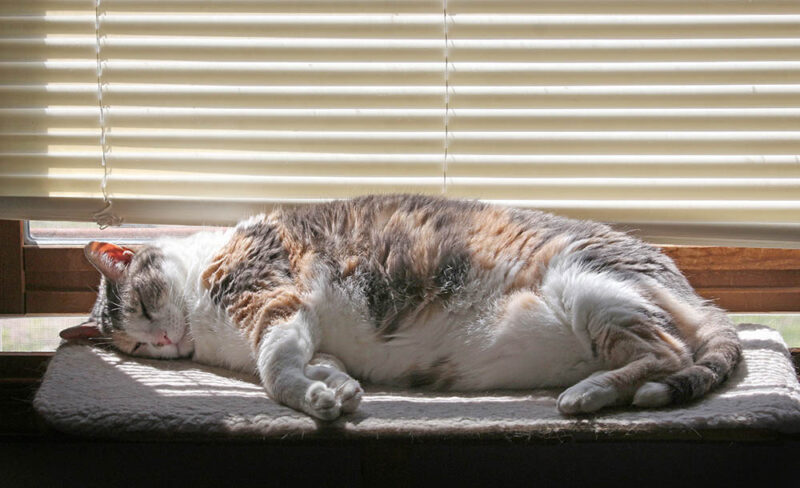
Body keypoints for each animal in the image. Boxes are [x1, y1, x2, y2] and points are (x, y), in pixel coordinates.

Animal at [62, 194, 744, 420]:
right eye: (133, 347)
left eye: (143, 306)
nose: (163, 346)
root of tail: (692, 288)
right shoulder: (310, 333)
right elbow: (320, 365)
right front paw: (337, 391)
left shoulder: (274, 298)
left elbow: (276, 373)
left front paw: (313, 401)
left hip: (592, 291)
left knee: (664, 354)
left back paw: (588, 394)